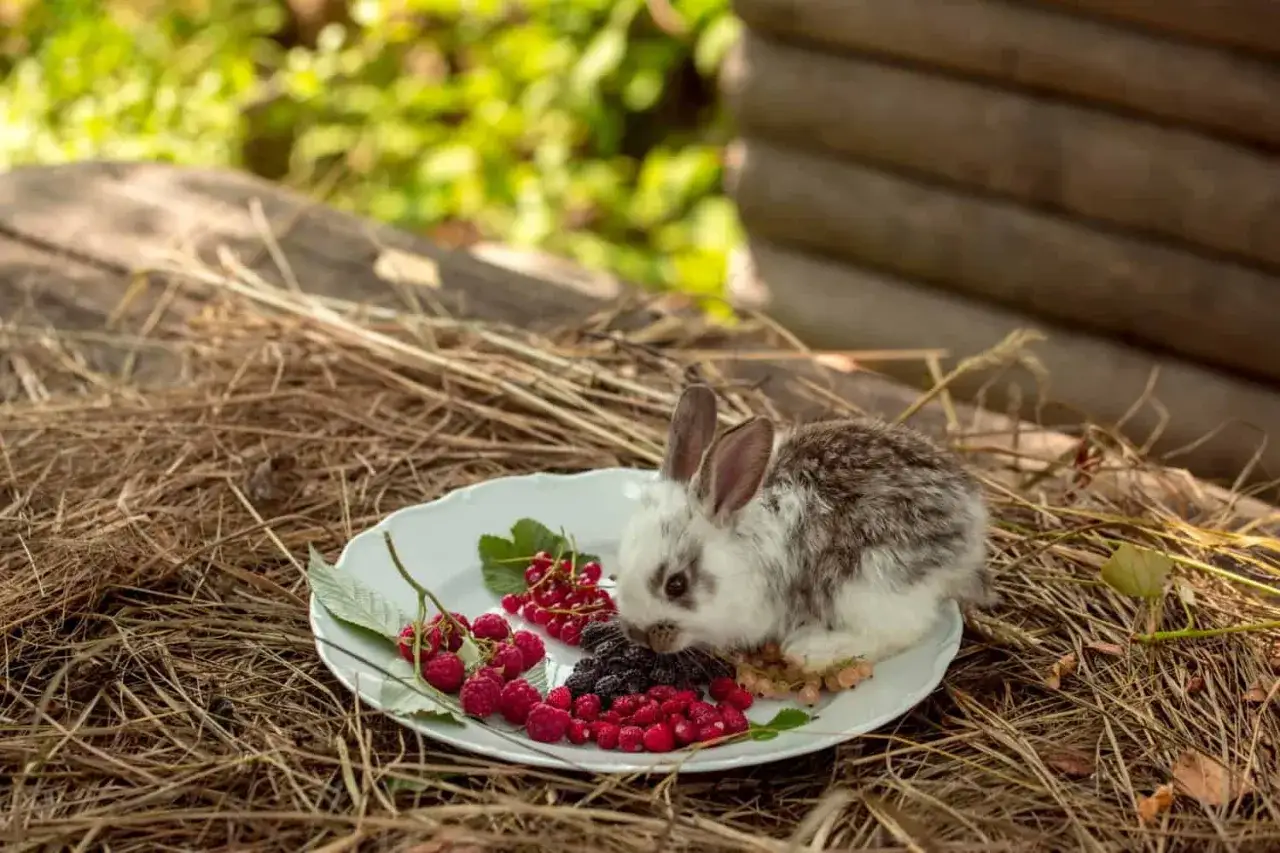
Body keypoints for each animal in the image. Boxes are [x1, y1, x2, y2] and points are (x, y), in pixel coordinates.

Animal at [613, 383, 994, 670]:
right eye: (616, 571)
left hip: (868, 582)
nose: (636, 634)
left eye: (676, 585)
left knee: (901, 630)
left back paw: (813, 650)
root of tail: (969, 518)